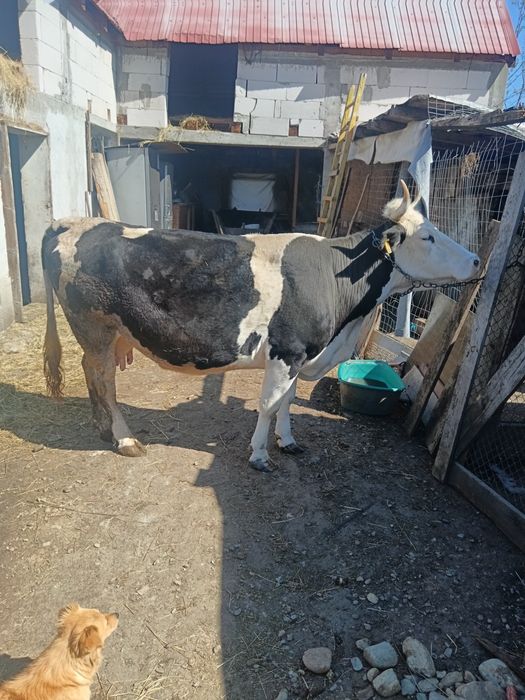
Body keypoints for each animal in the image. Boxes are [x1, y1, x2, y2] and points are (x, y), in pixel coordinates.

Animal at [42, 182, 480, 471]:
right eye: (428, 237)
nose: (477, 261)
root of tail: (70, 222)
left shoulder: (301, 355)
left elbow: (287, 401)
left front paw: (288, 442)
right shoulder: (287, 350)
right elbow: (268, 404)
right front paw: (259, 454)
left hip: (104, 334)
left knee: (91, 372)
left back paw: (103, 429)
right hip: (94, 326)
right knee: (103, 379)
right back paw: (125, 439)